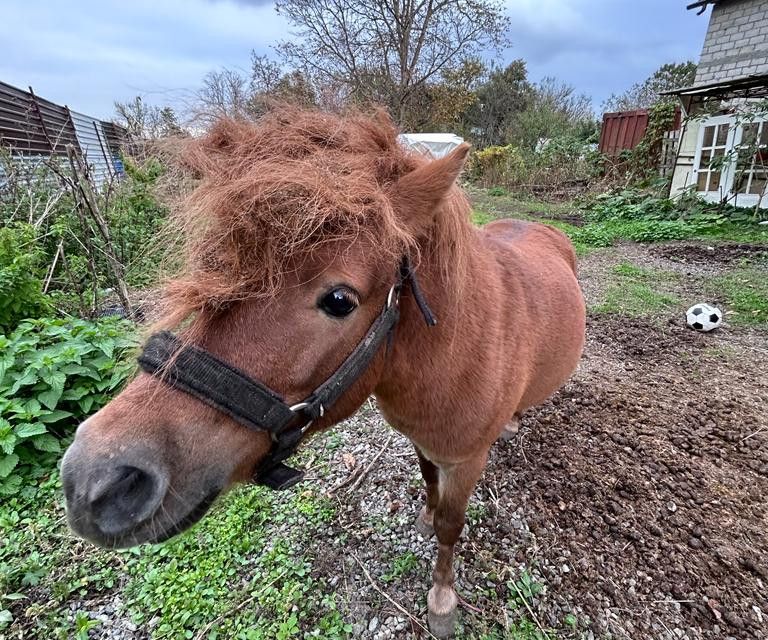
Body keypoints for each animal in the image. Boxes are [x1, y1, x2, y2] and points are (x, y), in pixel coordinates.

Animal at [61, 109, 588, 636]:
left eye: (339, 300)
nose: (96, 480)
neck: (456, 356)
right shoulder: (423, 443)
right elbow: (429, 487)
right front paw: (424, 514)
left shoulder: (466, 460)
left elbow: (450, 527)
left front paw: (442, 598)